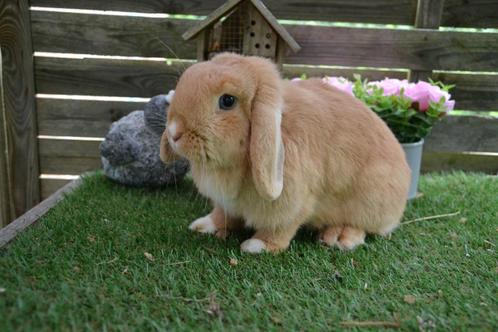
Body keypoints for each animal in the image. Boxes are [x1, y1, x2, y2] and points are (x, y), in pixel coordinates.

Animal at [160, 53, 408, 253]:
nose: (174, 132)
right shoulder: (225, 204)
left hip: (369, 200)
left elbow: (280, 228)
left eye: (227, 101)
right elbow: (222, 215)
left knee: (362, 226)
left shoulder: (293, 205)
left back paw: (338, 237)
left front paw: (256, 245)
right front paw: (203, 225)